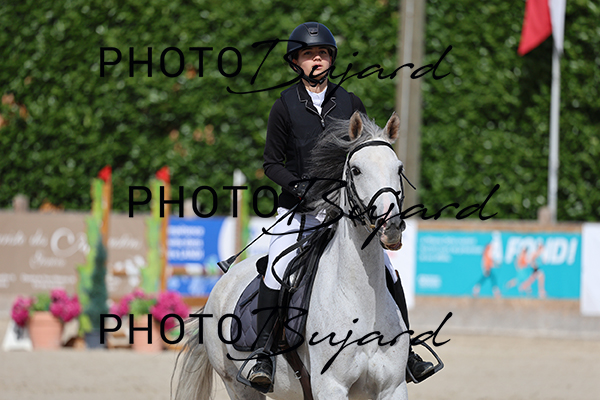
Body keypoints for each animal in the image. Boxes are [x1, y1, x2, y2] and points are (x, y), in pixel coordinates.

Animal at [174, 111, 410, 400]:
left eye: (399, 168)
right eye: (356, 170)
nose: (391, 227)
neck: (360, 298)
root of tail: (223, 282)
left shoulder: (392, 387)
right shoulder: (331, 388)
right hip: (238, 386)